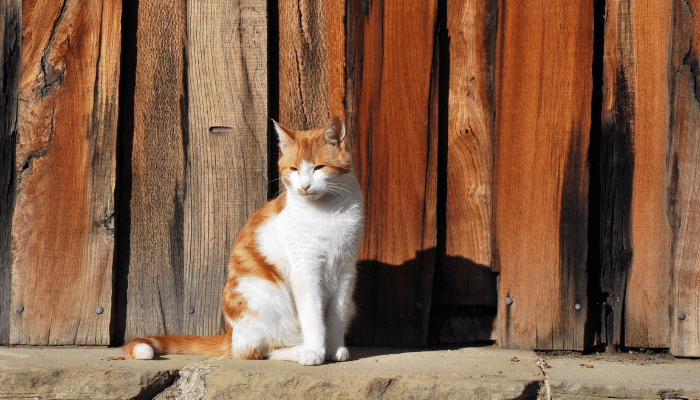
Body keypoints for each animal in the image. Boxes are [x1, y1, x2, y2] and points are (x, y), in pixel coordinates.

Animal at [123, 115, 364, 366]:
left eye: (319, 167)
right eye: (294, 169)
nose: (305, 186)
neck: (328, 211)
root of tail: (230, 334)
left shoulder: (346, 270)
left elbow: (335, 315)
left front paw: (335, 348)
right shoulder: (306, 269)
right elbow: (313, 317)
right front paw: (315, 351)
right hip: (261, 297)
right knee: (256, 351)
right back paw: (298, 350)